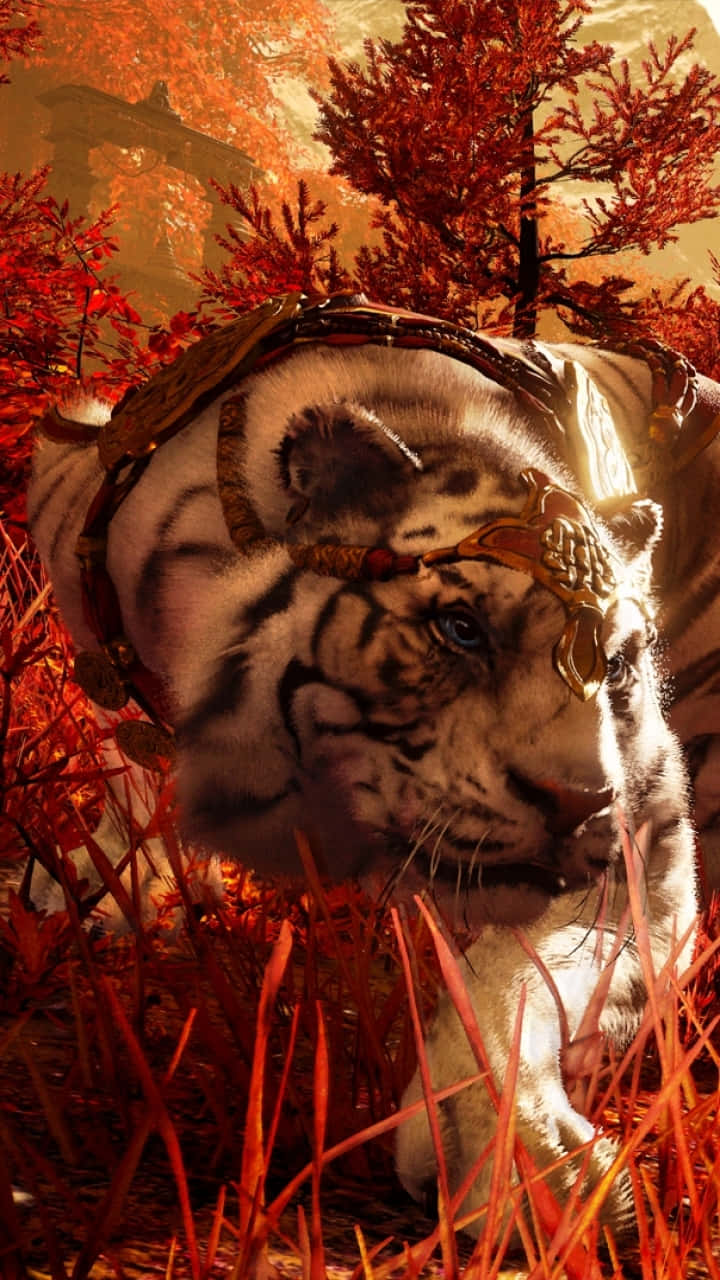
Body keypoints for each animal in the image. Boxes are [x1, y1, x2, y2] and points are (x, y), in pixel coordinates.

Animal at [27, 292, 717, 1239]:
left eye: (614, 664)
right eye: (460, 628)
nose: (577, 802)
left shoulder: (652, 858)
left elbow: (509, 977)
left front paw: (523, 1167)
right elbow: (127, 757)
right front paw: (100, 889)